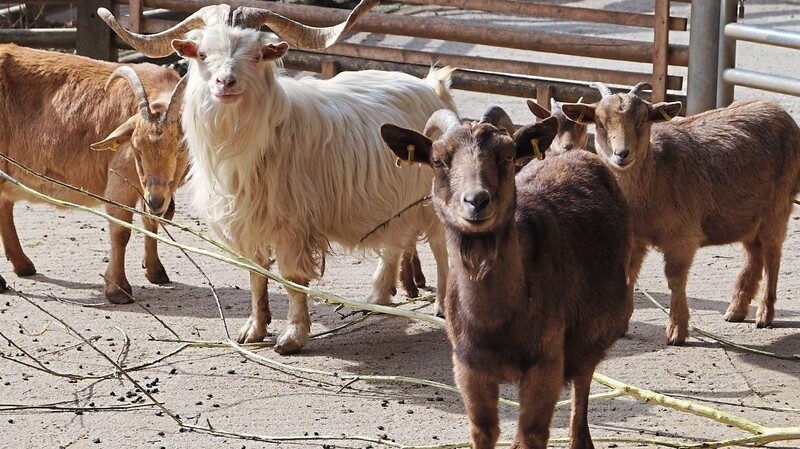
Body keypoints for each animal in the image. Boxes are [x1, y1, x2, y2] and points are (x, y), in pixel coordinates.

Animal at [0, 43, 188, 302]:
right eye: (136, 148)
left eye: (180, 148)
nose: (157, 200)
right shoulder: (121, 179)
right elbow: (121, 231)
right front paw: (118, 290)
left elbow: (150, 221)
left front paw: (156, 272)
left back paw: (23, 265)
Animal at [98, 0, 456, 354]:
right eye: (201, 53)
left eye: (256, 55)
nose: (225, 82)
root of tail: (431, 87)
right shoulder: (247, 223)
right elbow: (256, 274)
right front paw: (253, 329)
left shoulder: (291, 225)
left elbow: (292, 278)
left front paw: (292, 337)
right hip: (394, 203)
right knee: (393, 244)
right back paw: (378, 297)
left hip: (432, 202)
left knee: (441, 249)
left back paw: (441, 306)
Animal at [382, 107, 632, 448]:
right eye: (438, 160)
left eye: (508, 154)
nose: (476, 200)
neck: (497, 322)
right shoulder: (468, 367)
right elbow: (484, 430)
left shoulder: (546, 363)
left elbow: (533, 433)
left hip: (592, 334)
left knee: (582, 383)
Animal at [560, 82, 800, 344]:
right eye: (600, 123)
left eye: (642, 120)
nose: (622, 154)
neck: (655, 176)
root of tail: (782, 113)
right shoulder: (633, 238)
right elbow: (628, 275)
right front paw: (620, 326)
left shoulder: (682, 235)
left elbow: (675, 278)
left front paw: (677, 331)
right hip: (747, 214)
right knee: (754, 254)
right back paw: (736, 309)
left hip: (778, 205)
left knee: (772, 255)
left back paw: (765, 314)